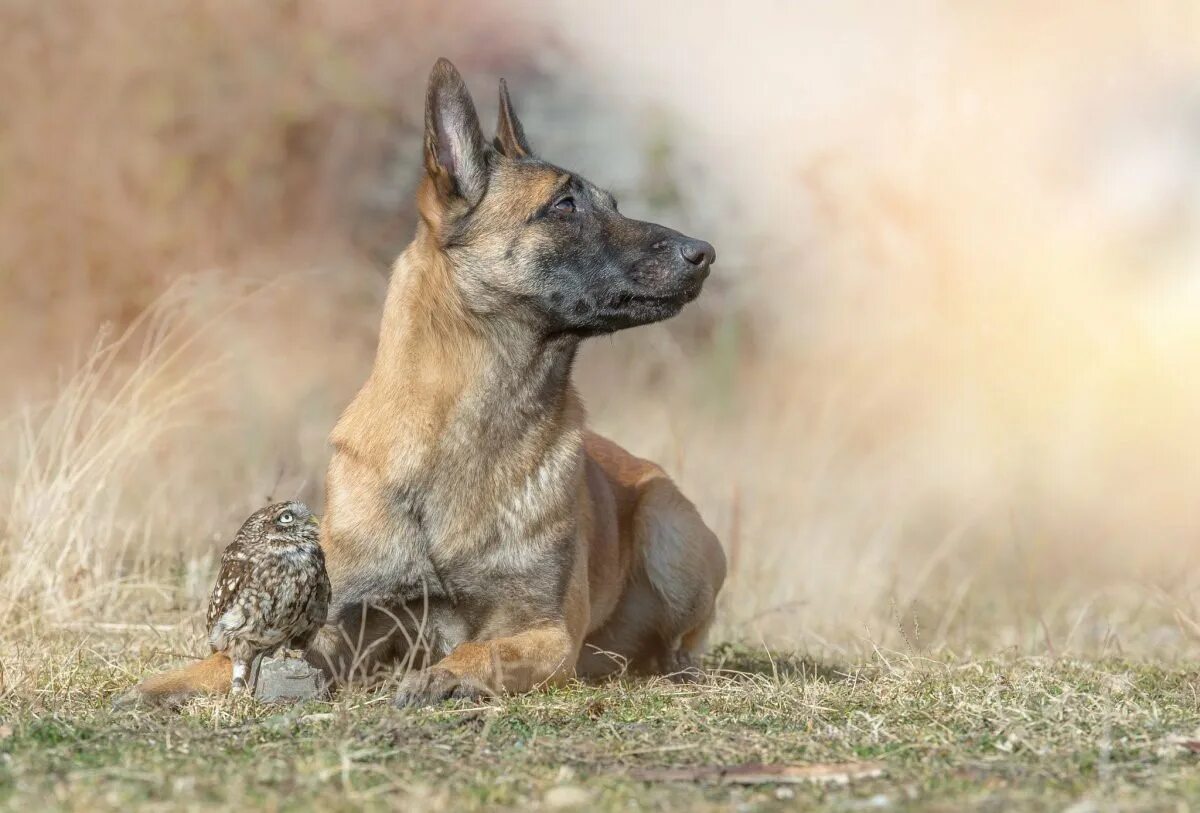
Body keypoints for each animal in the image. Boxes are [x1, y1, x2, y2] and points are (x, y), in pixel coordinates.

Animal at [124, 59, 720, 705]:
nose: (705, 252)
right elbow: (229, 655)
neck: (466, 427)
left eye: (609, 203)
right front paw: (169, 683)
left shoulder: (547, 632)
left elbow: (483, 649)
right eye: (564, 205)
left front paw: (440, 676)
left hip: (669, 529)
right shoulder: (339, 622)